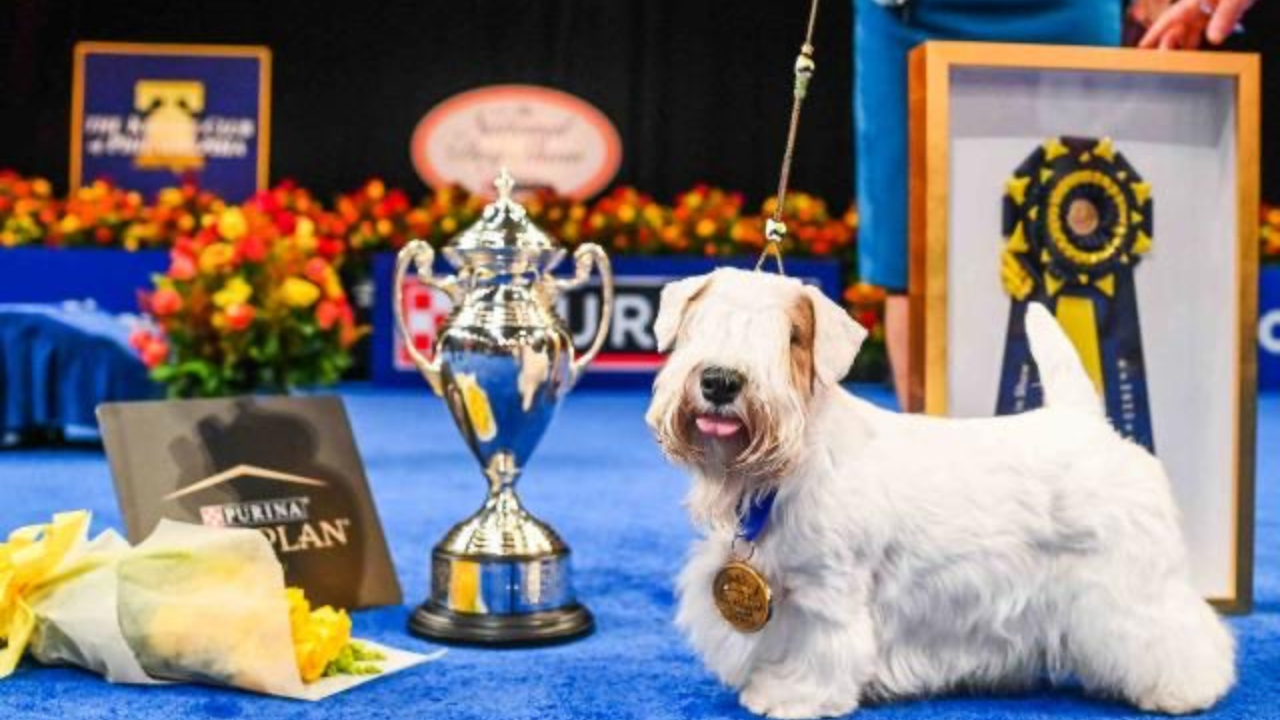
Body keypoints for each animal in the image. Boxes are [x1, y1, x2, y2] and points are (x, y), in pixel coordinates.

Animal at [645, 267, 1233, 717]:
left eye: (790, 337)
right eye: (700, 323)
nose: (720, 381)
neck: (789, 465)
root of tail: (1087, 422)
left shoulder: (827, 591)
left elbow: (820, 650)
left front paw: (791, 696)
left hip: (1133, 583)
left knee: (1177, 631)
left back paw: (1186, 689)